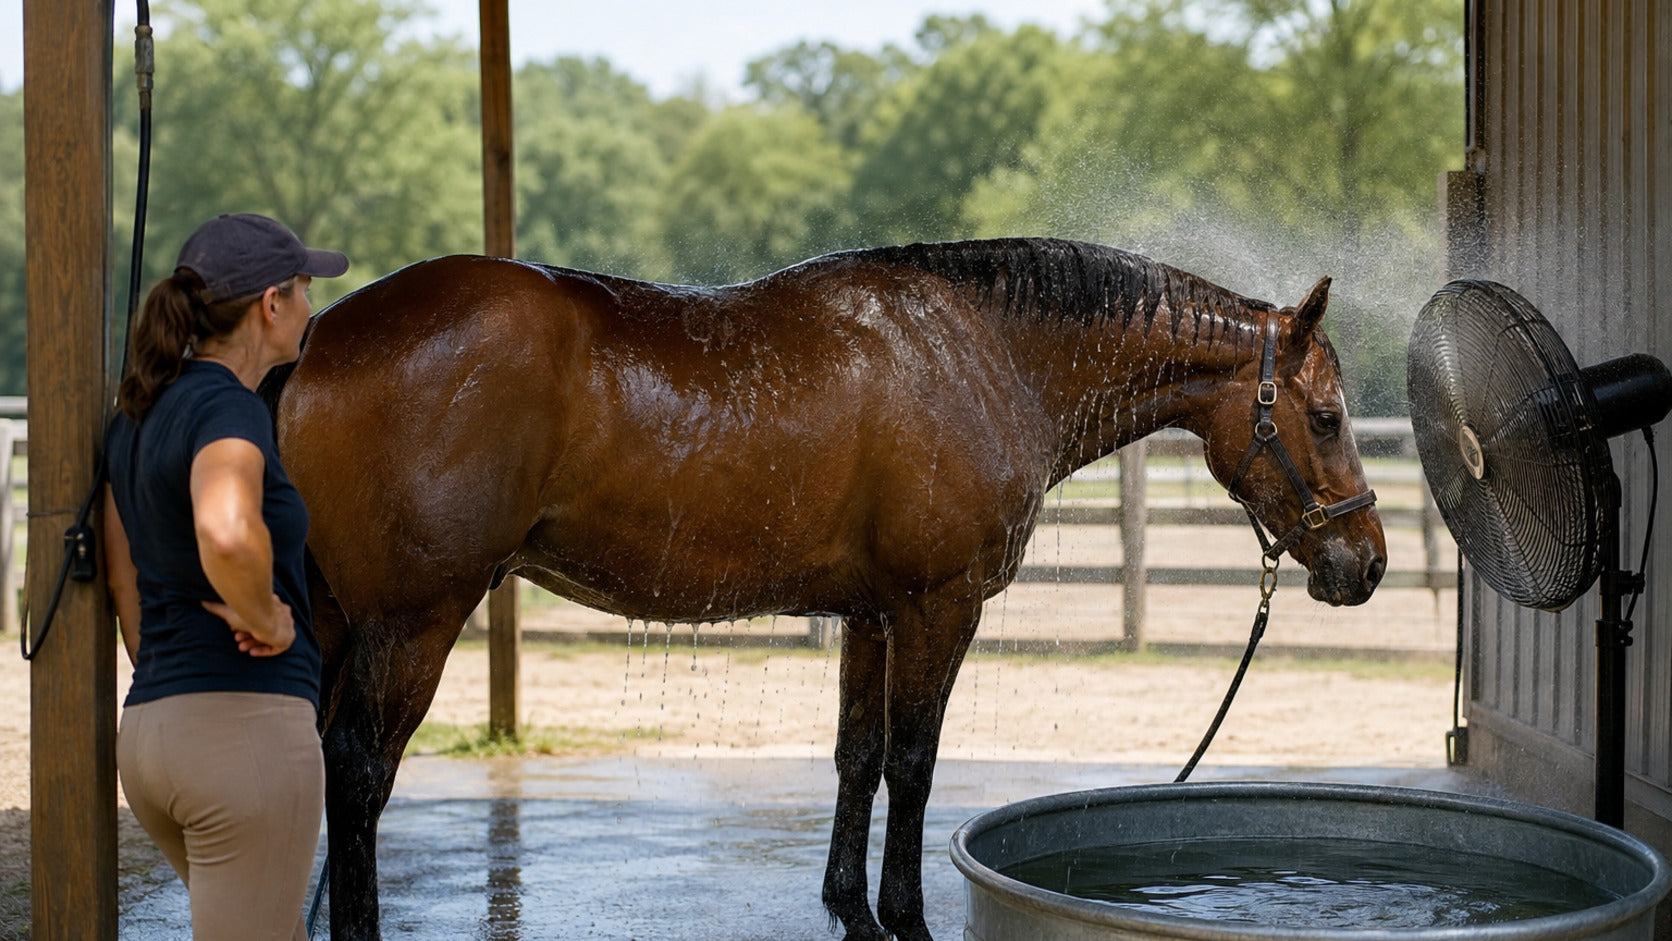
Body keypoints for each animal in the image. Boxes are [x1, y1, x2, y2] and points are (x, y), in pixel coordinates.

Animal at [269, 237, 1386, 941]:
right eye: (1327, 415)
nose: (1366, 562)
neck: (986, 351)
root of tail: (316, 339)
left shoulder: (870, 613)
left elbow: (857, 758)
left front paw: (851, 908)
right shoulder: (938, 605)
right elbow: (914, 763)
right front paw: (909, 916)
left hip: (337, 618)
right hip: (413, 620)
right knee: (360, 770)